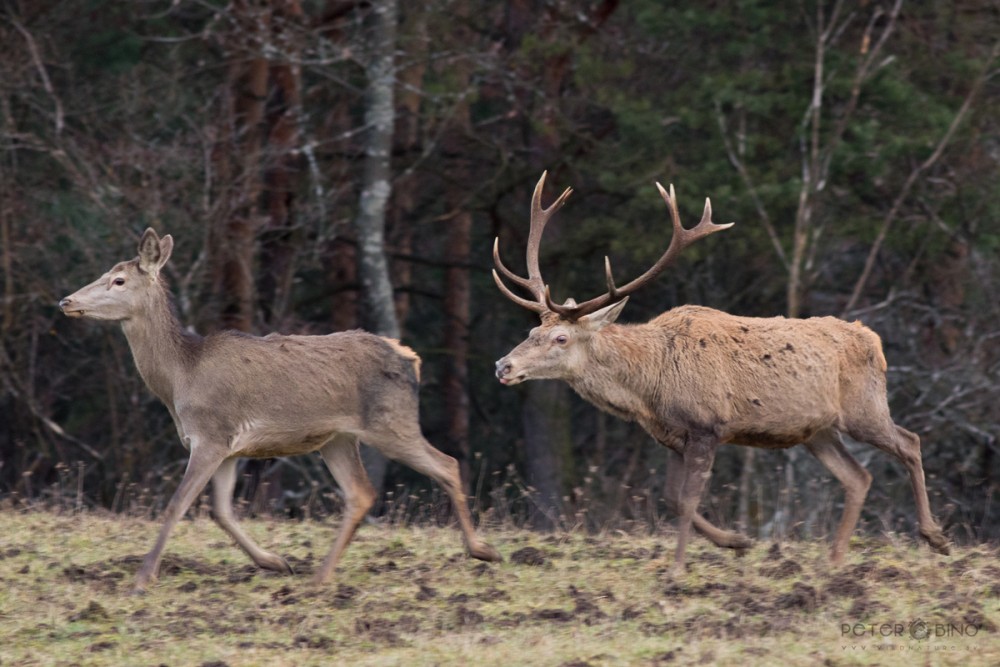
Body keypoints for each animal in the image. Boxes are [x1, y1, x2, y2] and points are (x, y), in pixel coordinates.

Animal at [496, 171, 948, 568]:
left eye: (561, 338)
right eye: (533, 329)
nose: (503, 365)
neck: (650, 386)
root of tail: (874, 341)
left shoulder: (707, 425)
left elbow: (688, 499)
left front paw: (678, 568)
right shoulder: (673, 436)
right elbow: (672, 498)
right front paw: (736, 541)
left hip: (863, 408)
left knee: (909, 442)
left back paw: (934, 536)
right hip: (817, 431)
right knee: (858, 477)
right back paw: (835, 559)